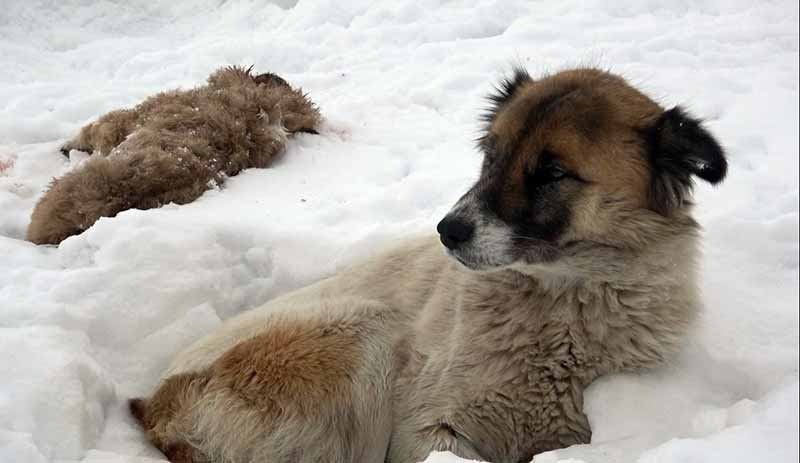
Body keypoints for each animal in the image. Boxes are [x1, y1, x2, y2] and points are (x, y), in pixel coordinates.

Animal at [130, 66, 724, 463]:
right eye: (491, 156)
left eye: (553, 172)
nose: (448, 231)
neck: (562, 313)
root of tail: (153, 405)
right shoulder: (427, 430)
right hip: (364, 333)